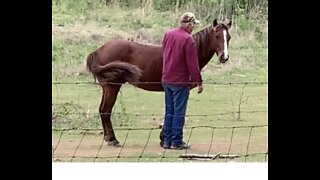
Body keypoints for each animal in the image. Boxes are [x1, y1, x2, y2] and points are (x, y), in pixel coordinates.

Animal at [85, 19, 231, 147]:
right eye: (217, 36)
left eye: (228, 37)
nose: (224, 57)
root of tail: (97, 51)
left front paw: (163, 139)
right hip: (112, 87)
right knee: (106, 111)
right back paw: (113, 140)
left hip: (108, 88)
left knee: (102, 110)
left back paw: (108, 138)